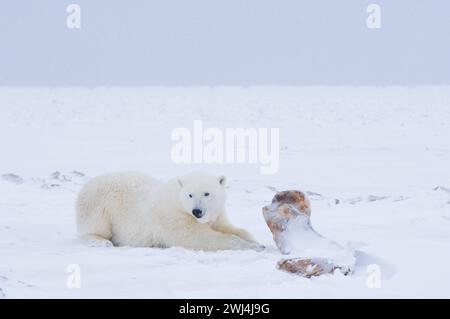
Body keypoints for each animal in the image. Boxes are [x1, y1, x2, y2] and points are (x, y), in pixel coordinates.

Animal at [75, 171, 258, 251]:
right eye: (190, 195)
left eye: (207, 193)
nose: (197, 211)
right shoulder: (174, 216)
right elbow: (197, 238)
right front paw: (250, 246)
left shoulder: (216, 214)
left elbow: (230, 228)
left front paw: (254, 240)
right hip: (98, 203)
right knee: (94, 227)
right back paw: (102, 241)